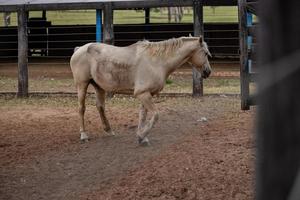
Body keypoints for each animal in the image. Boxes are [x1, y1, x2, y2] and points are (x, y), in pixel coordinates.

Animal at [69, 36, 211, 145]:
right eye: (205, 53)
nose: (208, 72)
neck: (157, 62)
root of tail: (79, 49)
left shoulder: (147, 94)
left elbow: (143, 115)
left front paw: (141, 137)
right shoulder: (142, 94)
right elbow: (155, 115)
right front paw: (142, 136)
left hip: (99, 87)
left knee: (100, 107)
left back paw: (109, 130)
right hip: (82, 85)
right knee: (81, 108)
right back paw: (84, 135)